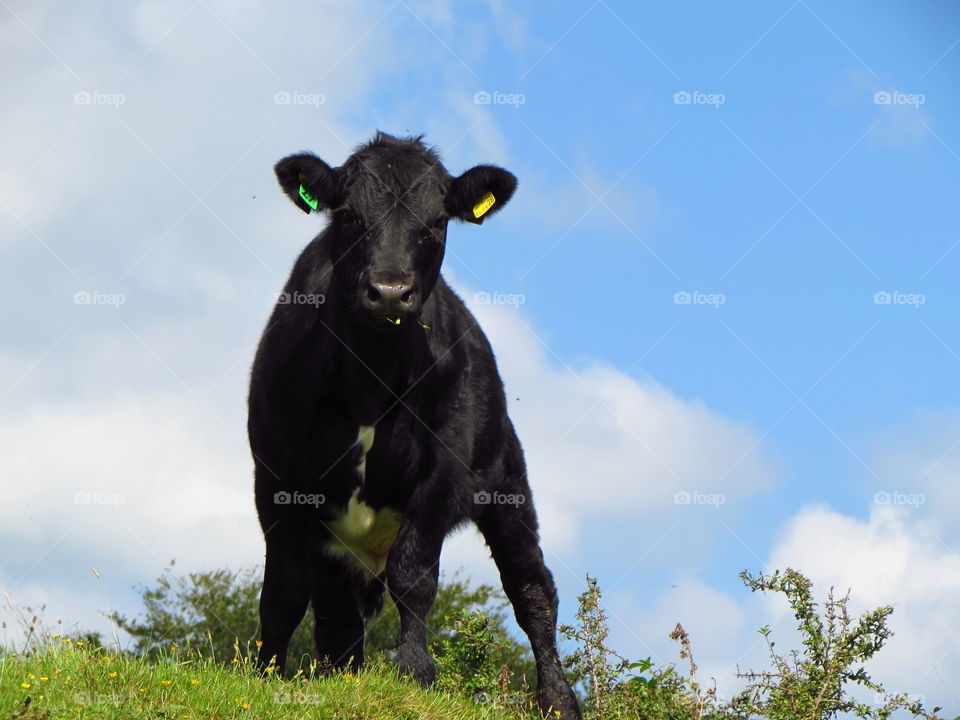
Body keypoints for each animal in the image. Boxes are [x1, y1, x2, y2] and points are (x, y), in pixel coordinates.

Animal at [248, 132, 576, 716]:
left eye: (437, 221)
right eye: (349, 216)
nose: (390, 291)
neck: (371, 379)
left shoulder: (442, 473)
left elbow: (415, 573)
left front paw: (416, 671)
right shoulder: (275, 477)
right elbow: (284, 588)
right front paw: (268, 674)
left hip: (507, 483)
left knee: (533, 589)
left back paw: (558, 700)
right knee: (338, 617)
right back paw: (340, 674)